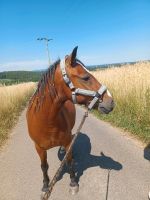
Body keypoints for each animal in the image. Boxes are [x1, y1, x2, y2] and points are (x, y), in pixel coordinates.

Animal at [26, 47, 114, 194]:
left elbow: (69, 161)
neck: (46, 121)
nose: (111, 101)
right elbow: (44, 166)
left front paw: (73, 183)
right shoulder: (39, 148)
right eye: (85, 77)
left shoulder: (67, 142)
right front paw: (45, 185)